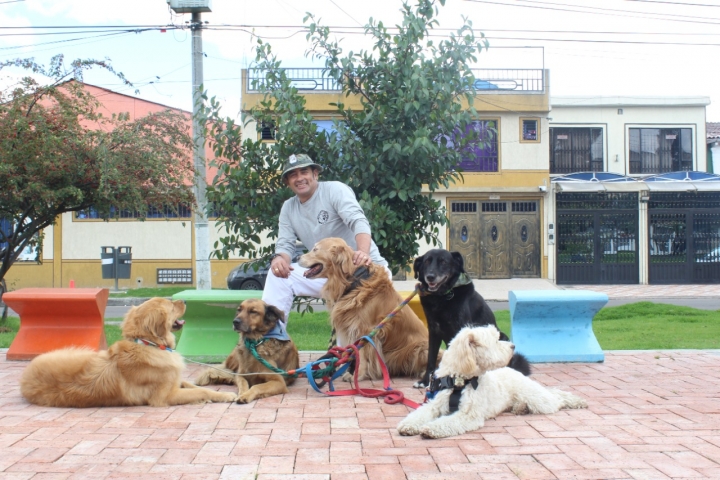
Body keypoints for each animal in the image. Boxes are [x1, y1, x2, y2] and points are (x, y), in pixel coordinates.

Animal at [20, 300, 236, 404]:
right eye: (171, 304)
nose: (183, 299)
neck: (148, 344)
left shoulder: (174, 381)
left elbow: (191, 384)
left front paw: (218, 393)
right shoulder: (165, 396)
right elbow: (198, 390)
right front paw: (221, 396)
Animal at [298, 237, 434, 382]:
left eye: (315, 249)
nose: (297, 257)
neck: (353, 281)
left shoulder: (365, 329)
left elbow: (362, 355)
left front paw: (358, 374)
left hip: (420, 349)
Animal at [396, 322, 588, 438]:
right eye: (496, 341)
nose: (513, 346)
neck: (459, 381)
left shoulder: (468, 415)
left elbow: (447, 421)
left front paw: (431, 428)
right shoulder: (434, 405)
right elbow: (419, 414)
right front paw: (408, 425)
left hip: (537, 399)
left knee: (556, 398)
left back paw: (575, 401)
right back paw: (520, 408)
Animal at [414, 249, 532, 388]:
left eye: (443, 262)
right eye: (427, 261)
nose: (430, 276)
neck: (442, 297)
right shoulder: (434, 331)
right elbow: (431, 358)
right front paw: (425, 381)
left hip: (502, 336)